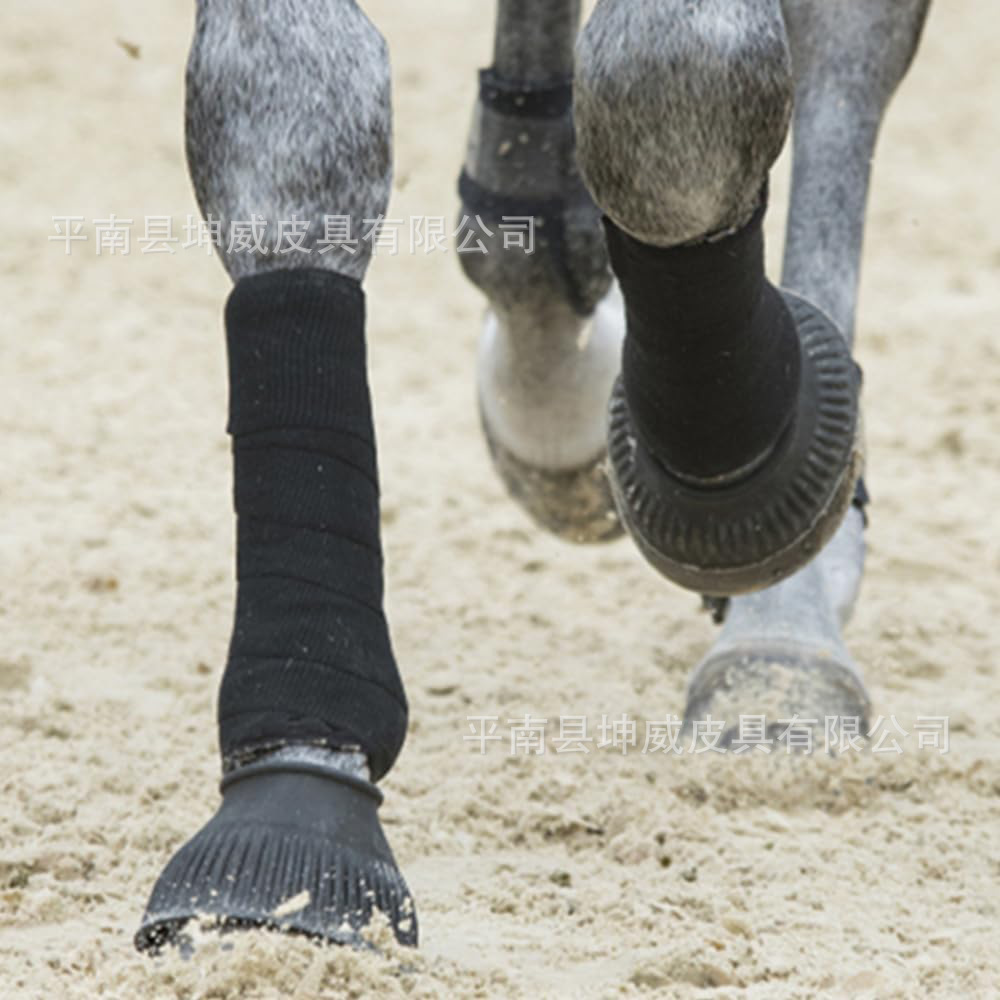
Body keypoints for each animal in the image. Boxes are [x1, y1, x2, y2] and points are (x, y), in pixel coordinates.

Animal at [135, 0, 931, 953]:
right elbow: (290, 131)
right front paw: (293, 793)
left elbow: (677, 70)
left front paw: (741, 449)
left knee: (837, 62)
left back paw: (783, 640)